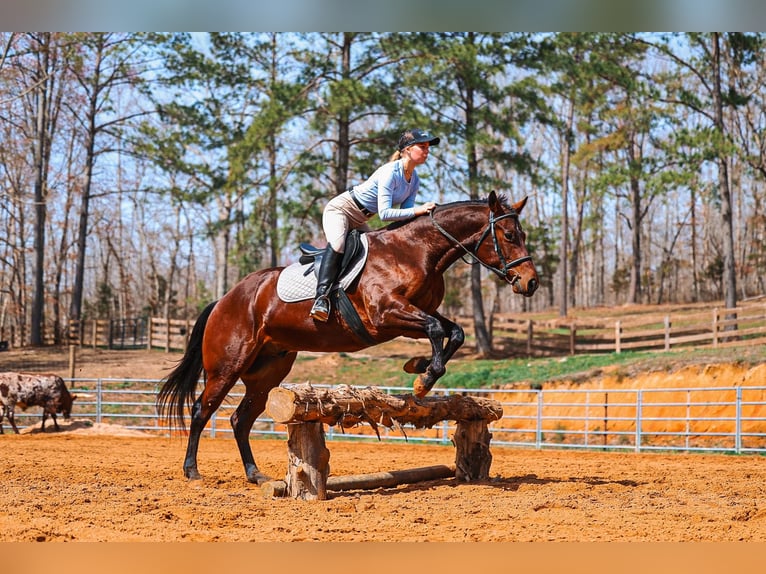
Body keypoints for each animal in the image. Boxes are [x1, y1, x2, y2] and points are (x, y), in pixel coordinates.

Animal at [157, 190, 539, 484]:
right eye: (509, 236)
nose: (531, 282)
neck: (416, 251)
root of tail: (224, 299)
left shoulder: (410, 315)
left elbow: (453, 331)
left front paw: (418, 369)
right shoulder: (387, 316)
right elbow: (434, 329)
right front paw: (424, 377)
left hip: (267, 372)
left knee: (240, 420)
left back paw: (255, 475)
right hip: (227, 365)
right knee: (201, 410)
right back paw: (192, 471)